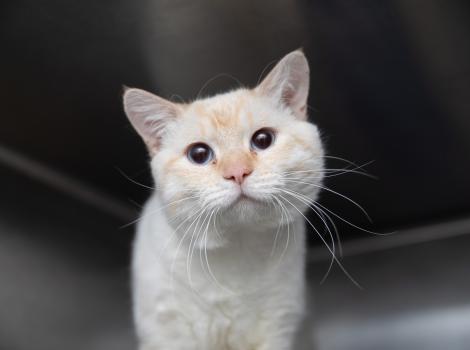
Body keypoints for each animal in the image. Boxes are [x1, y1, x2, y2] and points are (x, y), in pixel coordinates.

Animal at [123, 50, 324, 350]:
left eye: (263, 139)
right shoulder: (167, 330)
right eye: (198, 154)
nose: (237, 172)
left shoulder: (280, 325)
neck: (236, 250)